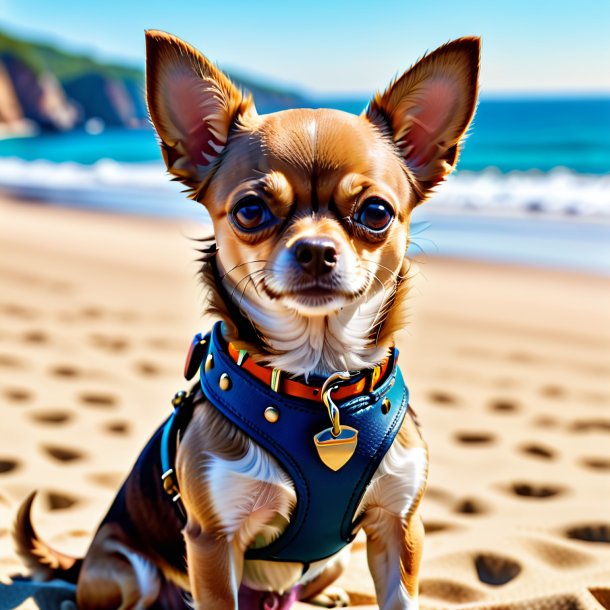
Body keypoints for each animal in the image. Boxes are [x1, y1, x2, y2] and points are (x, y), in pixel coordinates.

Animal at [14, 29, 478, 608]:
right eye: (250, 211)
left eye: (376, 213)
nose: (315, 250)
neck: (320, 385)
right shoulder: (213, 540)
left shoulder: (399, 526)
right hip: (126, 569)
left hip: (336, 560)